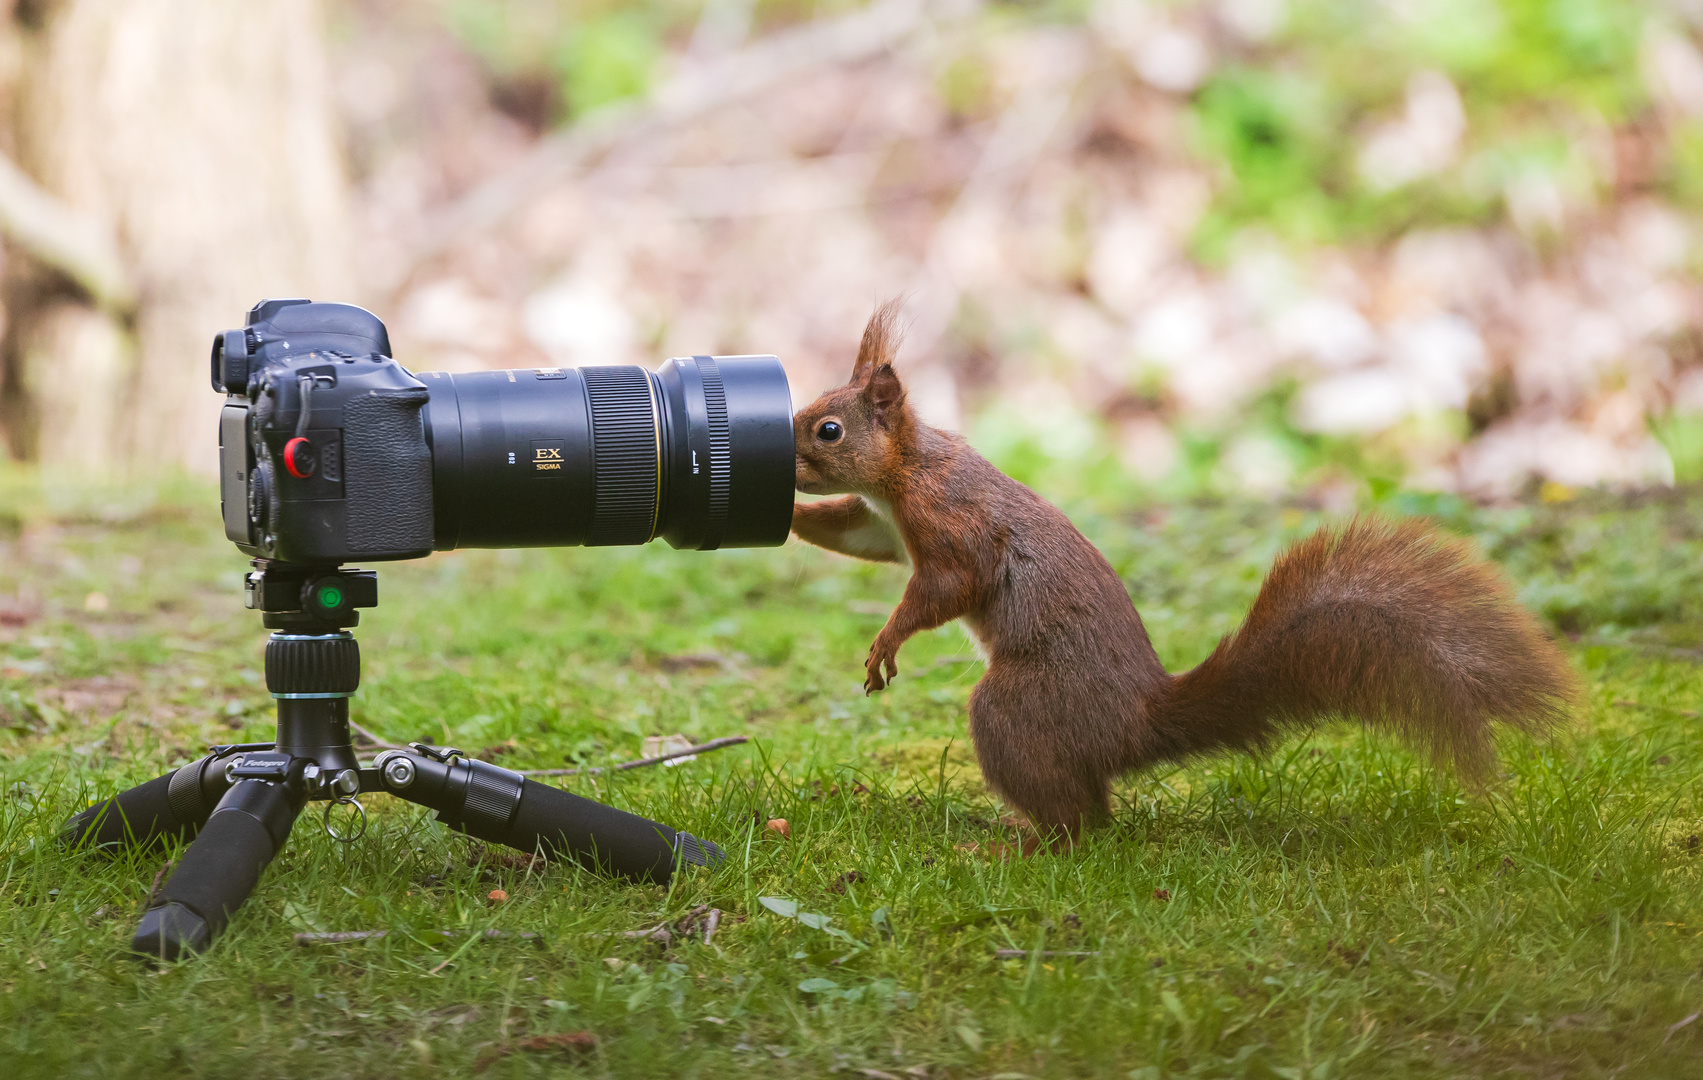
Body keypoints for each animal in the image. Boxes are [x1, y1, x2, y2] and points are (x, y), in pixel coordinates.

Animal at [790, 301, 1573, 831]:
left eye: (828, 428)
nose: (788, 456)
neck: (905, 470)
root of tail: (1134, 725)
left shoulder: (950, 524)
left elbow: (952, 585)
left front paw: (887, 640)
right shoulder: (884, 524)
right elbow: (856, 534)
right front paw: (790, 517)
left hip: (1021, 707)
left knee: (1081, 825)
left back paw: (1019, 844)